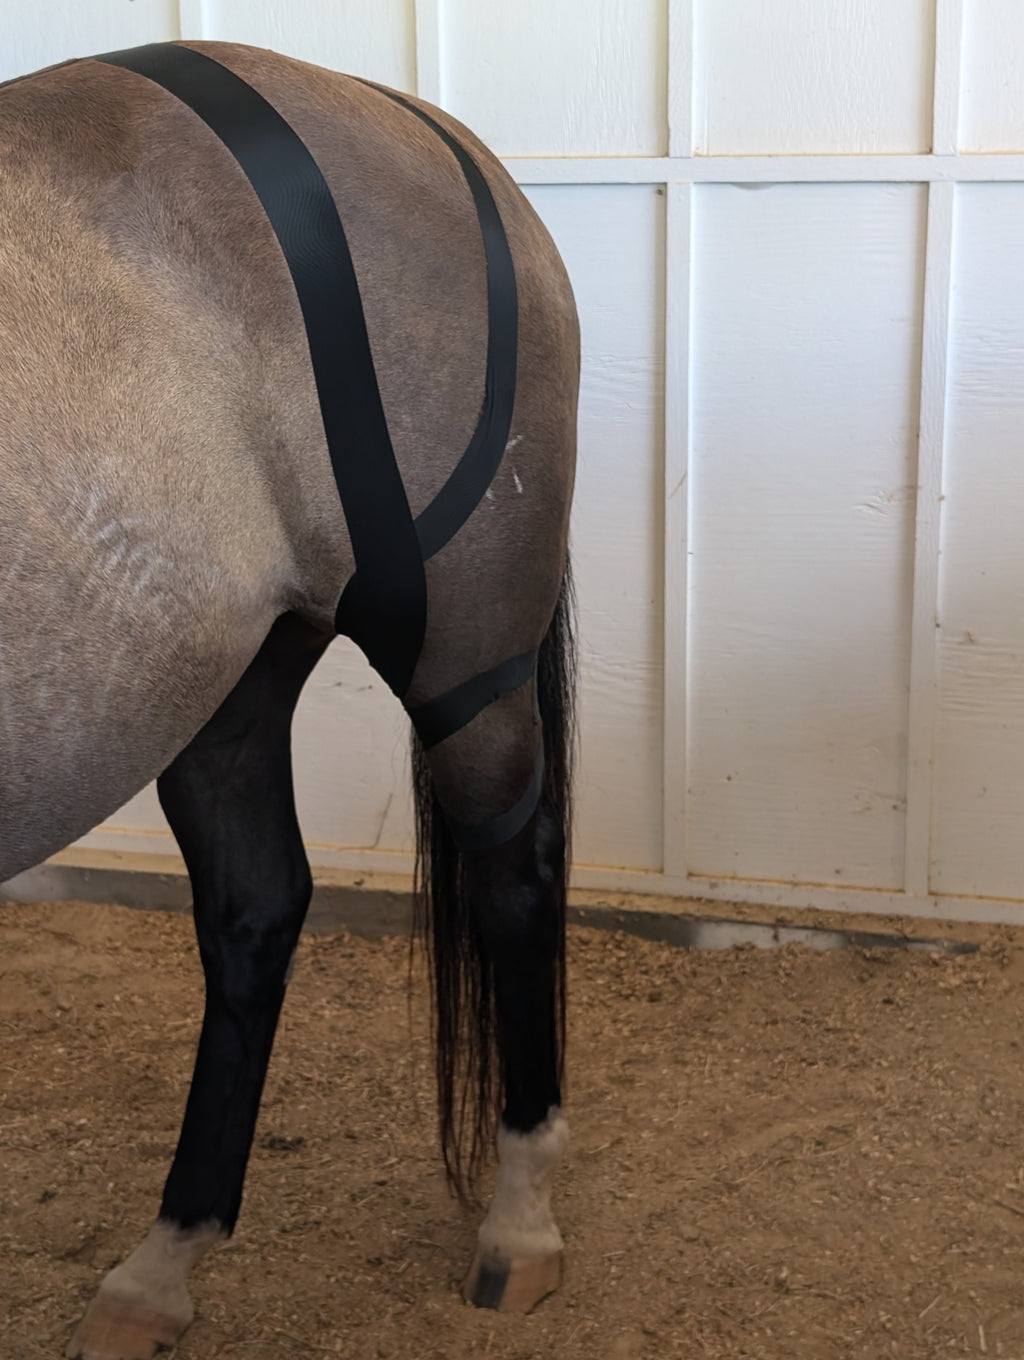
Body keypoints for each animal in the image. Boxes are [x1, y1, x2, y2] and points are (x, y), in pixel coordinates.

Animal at [0, 40, 578, 1360]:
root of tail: (423, 120)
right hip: (231, 679)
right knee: (257, 909)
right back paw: (165, 1259)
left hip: (466, 664)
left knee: (513, 883)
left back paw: (520, 1223)